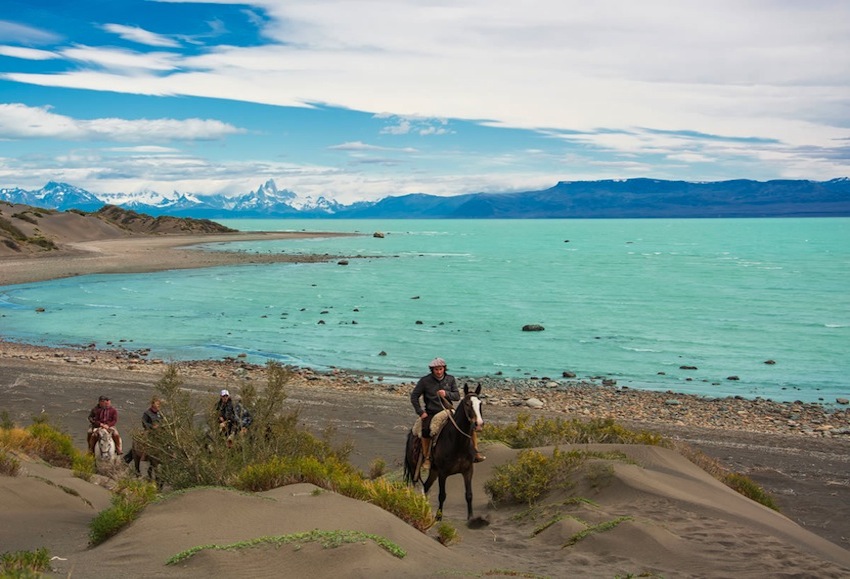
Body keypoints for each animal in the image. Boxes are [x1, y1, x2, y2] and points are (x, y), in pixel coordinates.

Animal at [404, 386, 484, 520]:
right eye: (467, 404)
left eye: (480, 403)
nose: (479, 424)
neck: (457, 443)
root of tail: (411, 434)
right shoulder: (443, 473)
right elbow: (442, 495)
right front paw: (438, 517)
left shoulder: (468, 471)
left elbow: (469, 495)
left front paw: (471, 518)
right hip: (415, 467)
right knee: (417, 486)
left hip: (433, 471)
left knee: (426, 486)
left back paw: (425, 509)